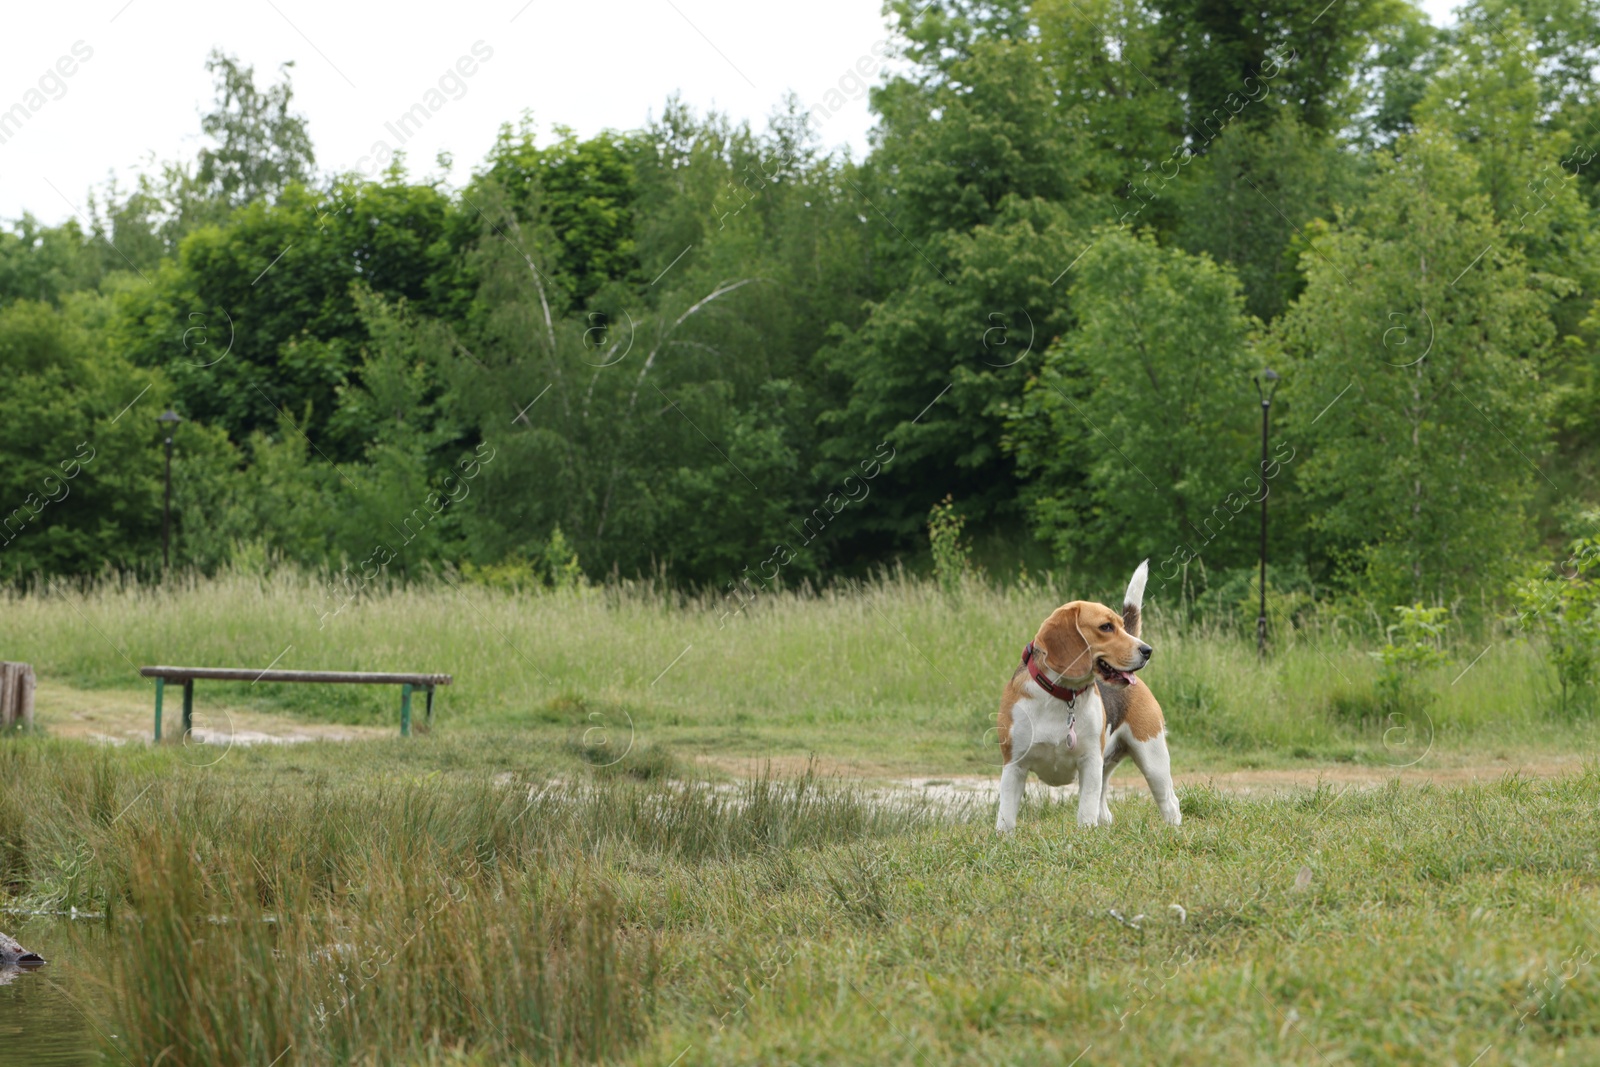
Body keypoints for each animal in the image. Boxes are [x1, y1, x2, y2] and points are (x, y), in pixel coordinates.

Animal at [992, 563, 1184, 831]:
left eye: (1121, 626)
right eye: (1106, 627)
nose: (1147, 650)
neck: (1061, 696)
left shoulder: (1090, 762)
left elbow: (1085, 811)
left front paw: (1084, 834)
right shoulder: (1014, 765)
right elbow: (1006, 816)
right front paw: (1004, 837)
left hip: (1153, 758)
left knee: (1169, 802)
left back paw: (1173, 830)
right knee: (1104, 808)